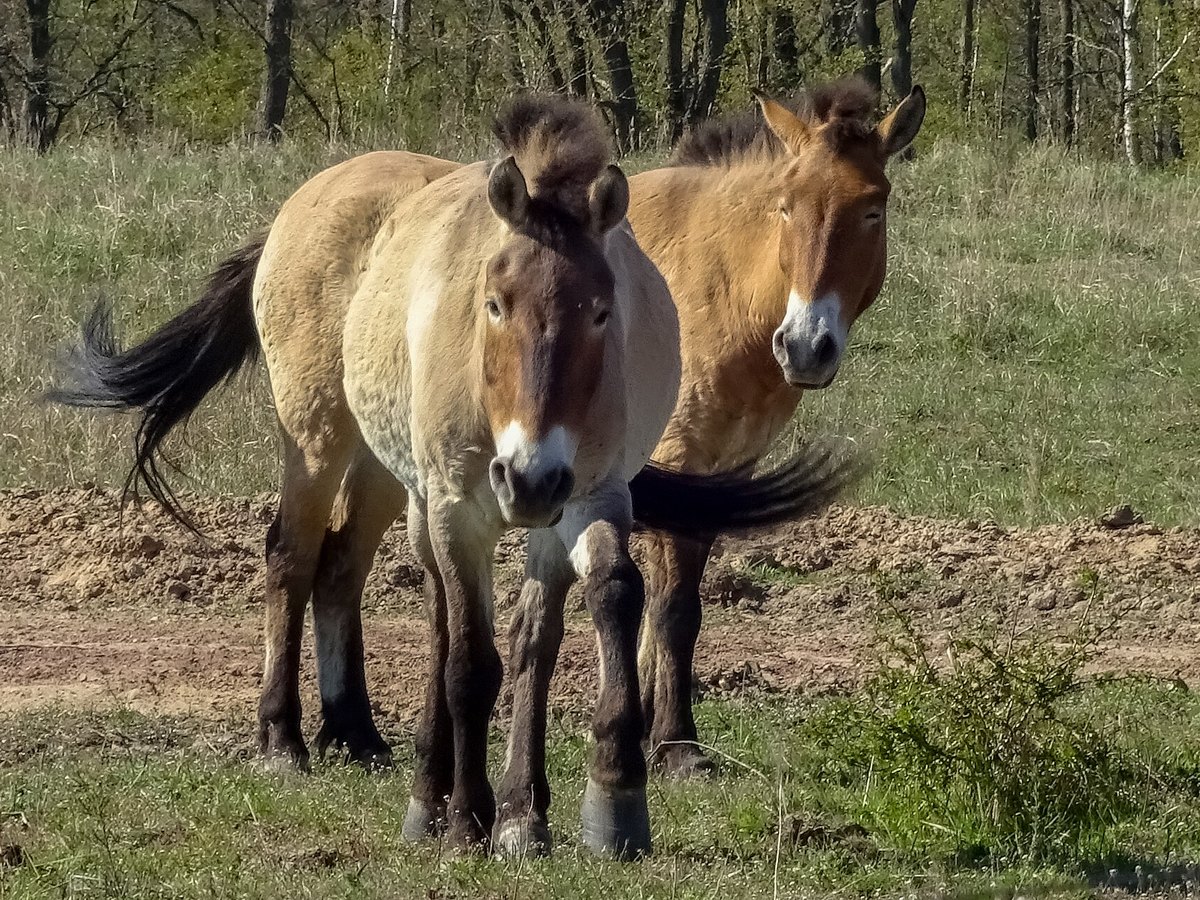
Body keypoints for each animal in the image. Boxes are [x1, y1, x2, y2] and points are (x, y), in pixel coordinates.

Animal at [49, 95, 857, 859]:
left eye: (602, 311)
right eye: (494, 303)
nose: (527, 479)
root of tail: (295, 210)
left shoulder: (590, 495)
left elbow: (584, 613)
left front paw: (577, 805)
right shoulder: (462, 508)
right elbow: (473, 662)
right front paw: (471, 820)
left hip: (394, 478)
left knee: (362, 574)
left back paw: (370, 744)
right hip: (323, 442)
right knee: (298, 558)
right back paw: (296, 746)